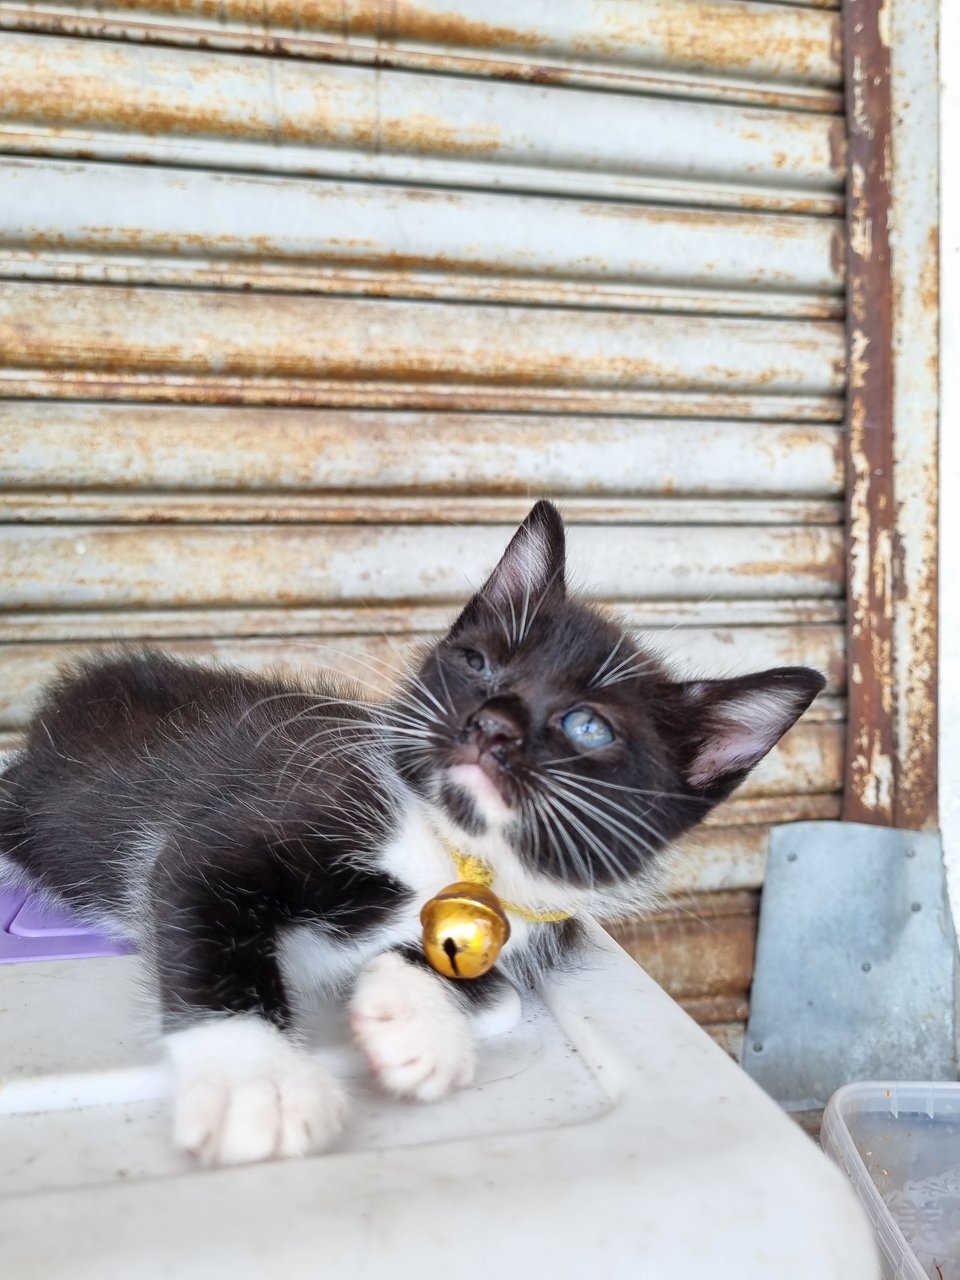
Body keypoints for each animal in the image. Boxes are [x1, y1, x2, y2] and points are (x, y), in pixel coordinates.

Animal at [0, 501, 829, 1172]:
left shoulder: (539, 920)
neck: (452, 848)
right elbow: (204, 914)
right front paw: (257, 1082)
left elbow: (494, 990)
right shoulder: (248, 820)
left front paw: (418, 1024)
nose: (490, 722)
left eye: (587, 726)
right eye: (477, 662)